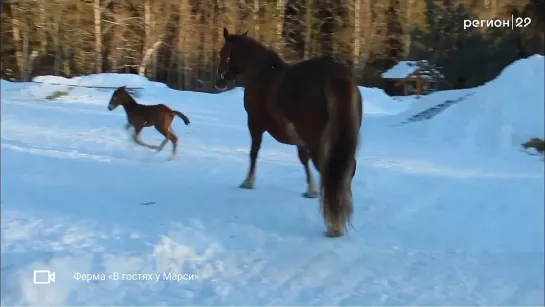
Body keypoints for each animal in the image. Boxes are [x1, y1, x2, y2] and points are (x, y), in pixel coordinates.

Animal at [216, 28, 362, 238]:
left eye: (223, 53)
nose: (219, 82)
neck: (261, 73)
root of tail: (336, 77)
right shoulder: (300, 139)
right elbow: (303, 160)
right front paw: (311, 190)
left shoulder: (255, 124)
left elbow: (254, 152)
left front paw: (248, 181)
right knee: (346, 170)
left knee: (330, 172)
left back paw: (333, 225)